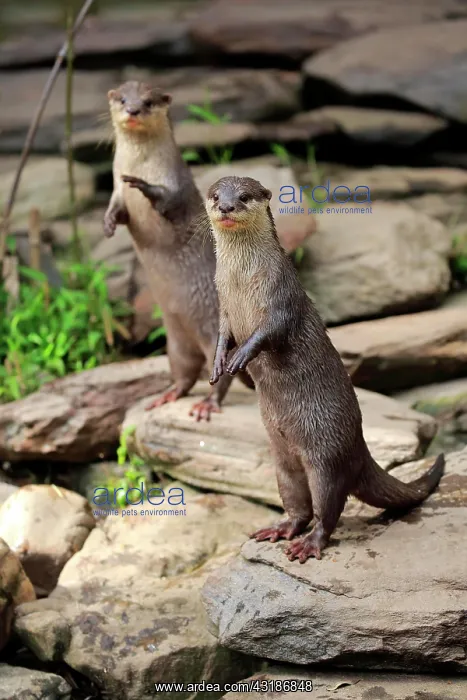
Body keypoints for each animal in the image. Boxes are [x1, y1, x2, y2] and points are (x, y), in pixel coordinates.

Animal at [104, 81, 252, 420]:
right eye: (122, 99)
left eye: (147, 101)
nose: (133, 110)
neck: (141, 163)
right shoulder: (116, 191)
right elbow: (117, 209)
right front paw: (108, 223)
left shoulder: (178, 187)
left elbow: (168, 201)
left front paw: (142, 185)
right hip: (176, 343)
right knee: (185, 373)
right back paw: (167, 395)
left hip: (213, 333)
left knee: (220, 374)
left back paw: (207, 404)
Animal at [206, 175, 445, 562]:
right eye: (215, 196)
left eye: (243, 196)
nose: (226, 207)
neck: (241, 284)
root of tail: (360, 450)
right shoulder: (223, 308)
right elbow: (221, 337)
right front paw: (218, 364)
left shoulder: (281, 297)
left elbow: (270, 332)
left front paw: (242, 356)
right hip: (283, 461)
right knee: (298, 506)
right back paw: (281, 529)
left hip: (327, 458)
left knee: (328, 508)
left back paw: (309, 545)